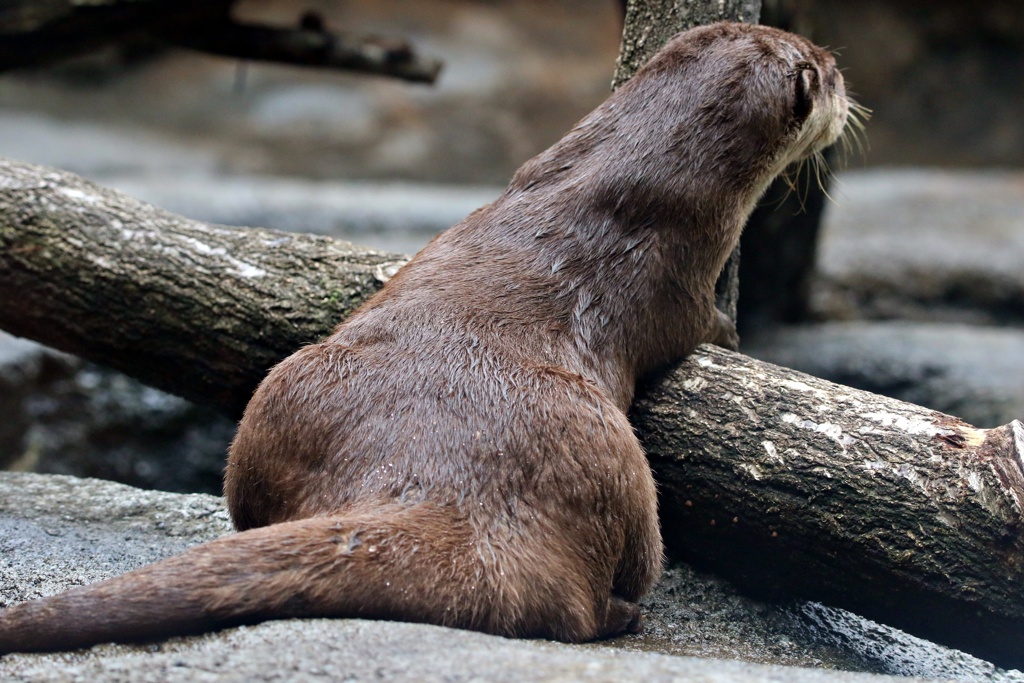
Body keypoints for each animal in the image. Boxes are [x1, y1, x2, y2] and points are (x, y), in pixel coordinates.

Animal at [0, 21, 847, 651]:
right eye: (830, 74)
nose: (842, 74)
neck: (625, 173)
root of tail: (443, 492)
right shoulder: (680, 275)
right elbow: (703, 326)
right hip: (621, 480)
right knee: (592, 596)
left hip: (276, 402)